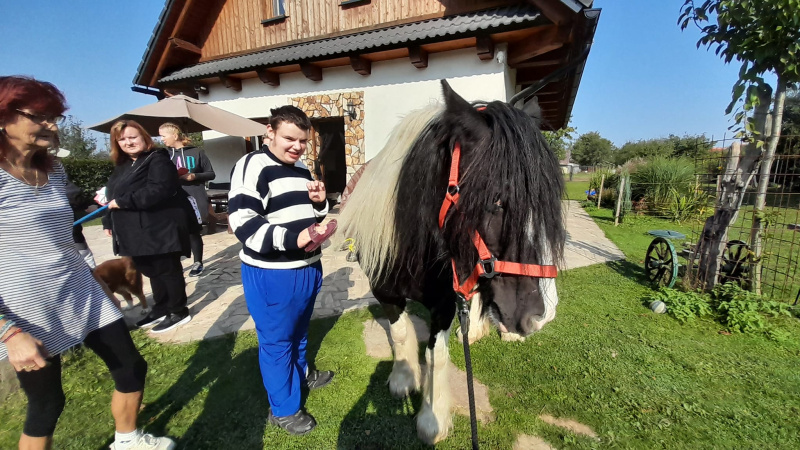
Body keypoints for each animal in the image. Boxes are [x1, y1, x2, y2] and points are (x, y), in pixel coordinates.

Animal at [339, 80, 565, 444]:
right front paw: (403, 379)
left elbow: (436, 355)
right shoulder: (384, 291)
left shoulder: (445, 300)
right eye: (496, 200)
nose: (540, 317)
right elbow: (399, 332)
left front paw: (432, 418)